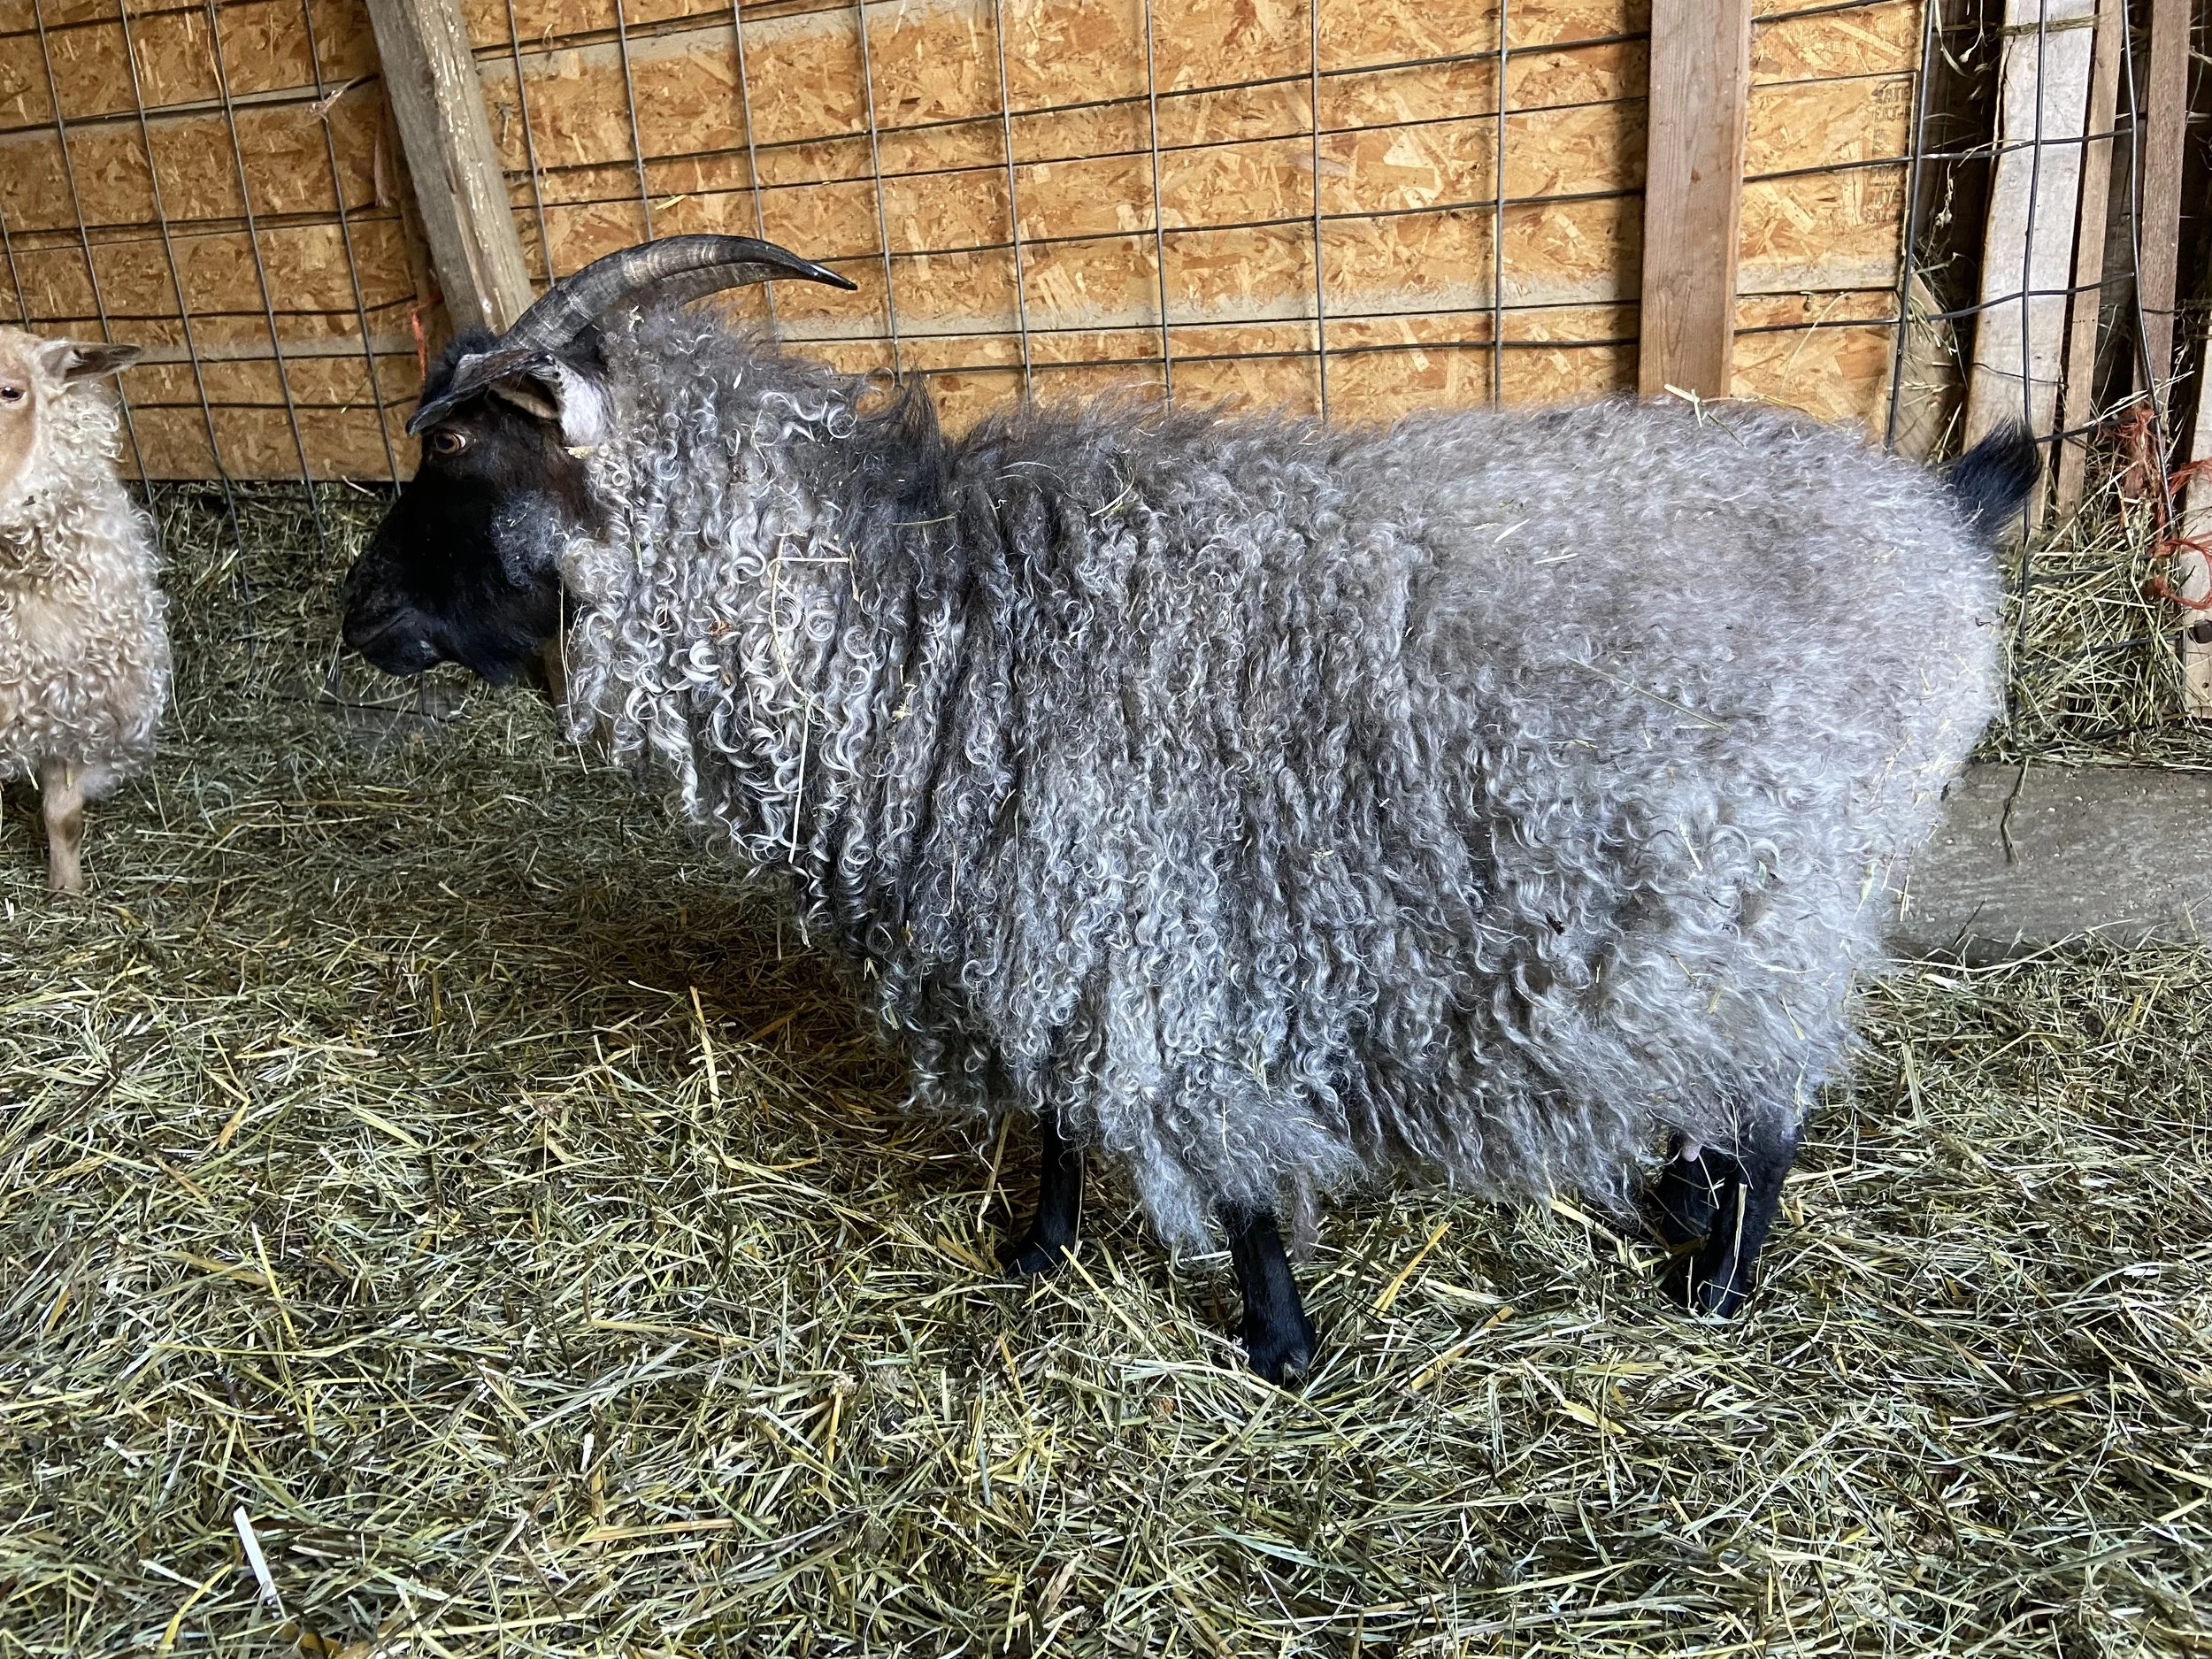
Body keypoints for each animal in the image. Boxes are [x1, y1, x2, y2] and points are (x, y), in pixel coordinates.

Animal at [342, 237, 2037, 1382]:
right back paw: (1683, 1193)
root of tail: (1933, 516)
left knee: (1782, 1083)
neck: (931, 627)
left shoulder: (1156, 906)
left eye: (462, 449)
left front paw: (1279, 1336)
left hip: (1787, 876)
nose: (355, 612)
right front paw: (1038, 1245)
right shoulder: (1038, 892)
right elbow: (1054, 1103)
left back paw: (1723, 1275)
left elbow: (1205, 1146)